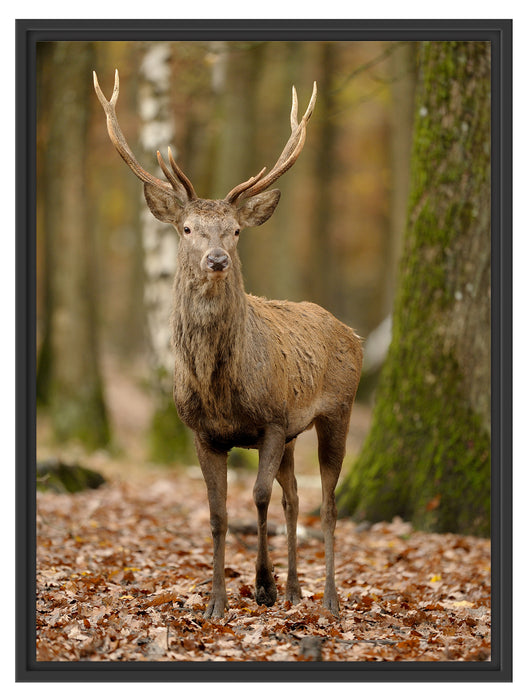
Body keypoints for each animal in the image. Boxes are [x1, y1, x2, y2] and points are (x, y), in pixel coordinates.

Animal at [94, 69, 364, 616]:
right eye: (187, 228)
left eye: (236, 230)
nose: (216, 259)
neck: (221, 390)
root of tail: (354, 334)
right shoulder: (203, 432)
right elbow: (217, 514)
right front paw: (217, 601)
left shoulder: (274, 420)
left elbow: (257, 497)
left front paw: (260, 586)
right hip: (298, 433)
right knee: (296, 497)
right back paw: (296, 589)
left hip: (337, 410)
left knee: (326, 503)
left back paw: (327, 597)